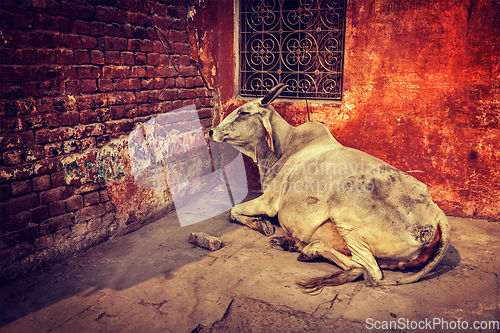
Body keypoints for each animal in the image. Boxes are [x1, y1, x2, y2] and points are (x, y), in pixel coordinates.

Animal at [209, 84, 452, 292]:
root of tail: (436, 212)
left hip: (345, 208)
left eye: (243, 112)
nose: (211, 131)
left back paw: (308, 249)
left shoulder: (269, 202)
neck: (283, 149)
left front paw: (262, 225)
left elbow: (233, 211)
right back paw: (290, 242)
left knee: (365, 269)